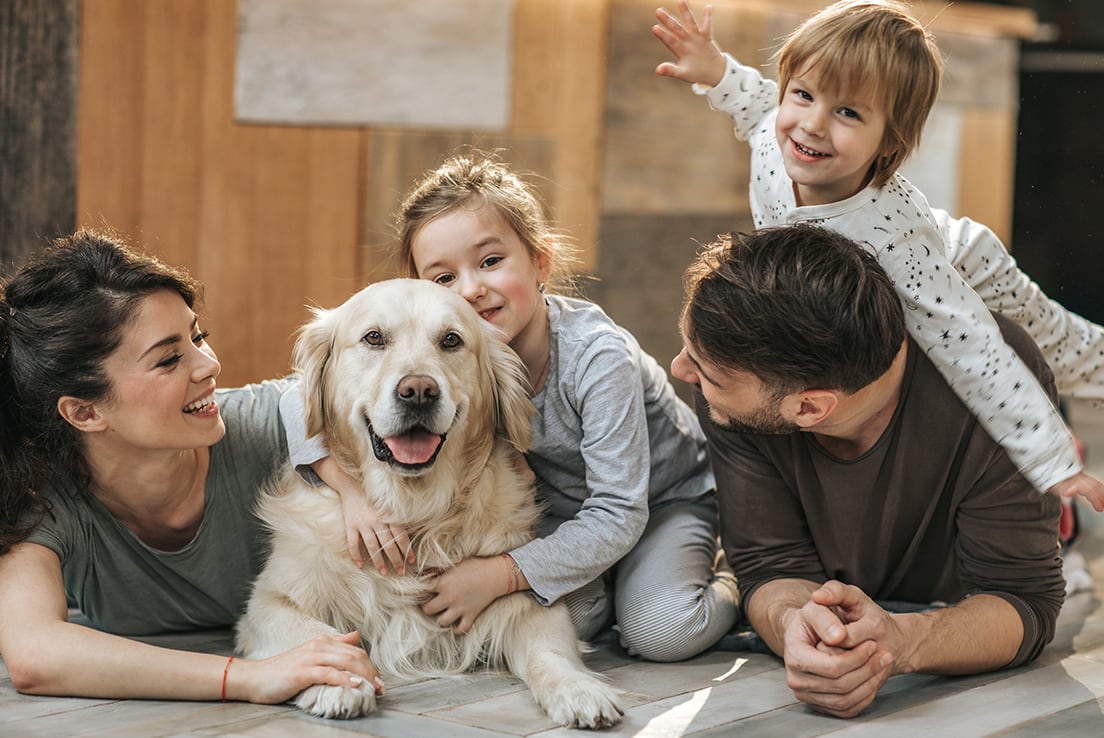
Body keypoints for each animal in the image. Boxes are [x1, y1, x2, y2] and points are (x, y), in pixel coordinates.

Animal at [235, 278, 622, 724]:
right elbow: (316, 633)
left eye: (451, 340)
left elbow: (550, 650)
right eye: (373, 338)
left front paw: (579, 689)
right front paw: (336, 679)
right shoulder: (268, 601)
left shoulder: (527, 600)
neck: (414, 511)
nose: (418, 391)